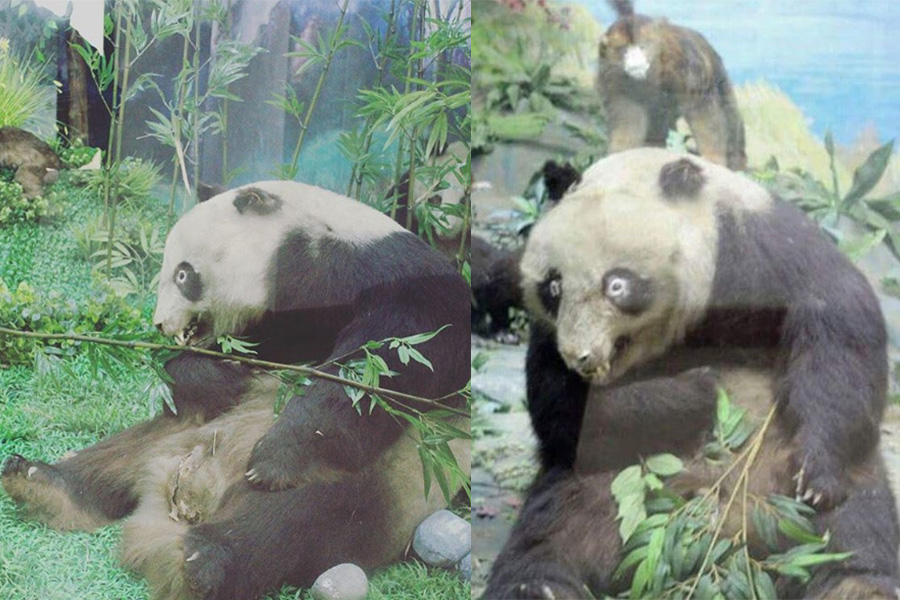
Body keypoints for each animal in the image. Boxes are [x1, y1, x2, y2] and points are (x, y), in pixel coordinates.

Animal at [2, 181, 471, 599]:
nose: (160, 325)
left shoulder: (395, 278)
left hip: (390, 481)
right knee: (123, 451)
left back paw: (203, 557)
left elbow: (390, 362)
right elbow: (236, 360)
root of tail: (179, 494)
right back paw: (43, 481)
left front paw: (279, 451)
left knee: (297, 517)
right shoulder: (286, 321)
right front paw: (220, 374)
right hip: (173, 433)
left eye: (183, 274)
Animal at [482, 148, 899, 598]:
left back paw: (859, 583)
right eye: (554, 287)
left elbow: (836, 335)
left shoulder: (762, 249)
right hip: (602, 486)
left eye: (617, 285)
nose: (581, 357)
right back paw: (537, 587)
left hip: (821, 493)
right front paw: (699, 388)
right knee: (551, 537)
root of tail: (729, 538)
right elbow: (562, 410)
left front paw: (814, 474)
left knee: (855, 532)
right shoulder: (550, 338)